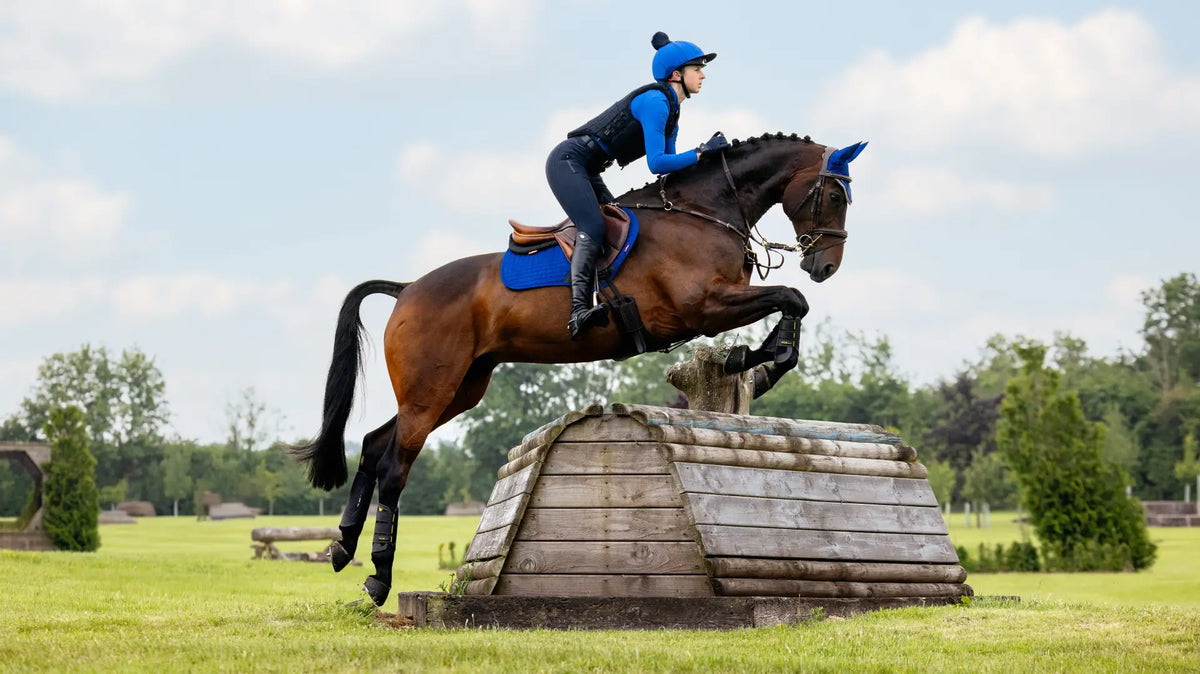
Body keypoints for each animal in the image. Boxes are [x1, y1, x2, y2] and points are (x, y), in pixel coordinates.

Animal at [291, 132, 867, 605]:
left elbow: (790, 305)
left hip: (459, 388)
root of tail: (407, 288)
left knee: (372, 445)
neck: (703, 212)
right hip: (431, 389)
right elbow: (791, 299)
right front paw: (757, 356)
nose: (825, 266)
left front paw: (754, 359)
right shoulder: (703, 307)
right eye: (835, 197)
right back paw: (378, 576)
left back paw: (342, 547)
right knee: (394, 465)